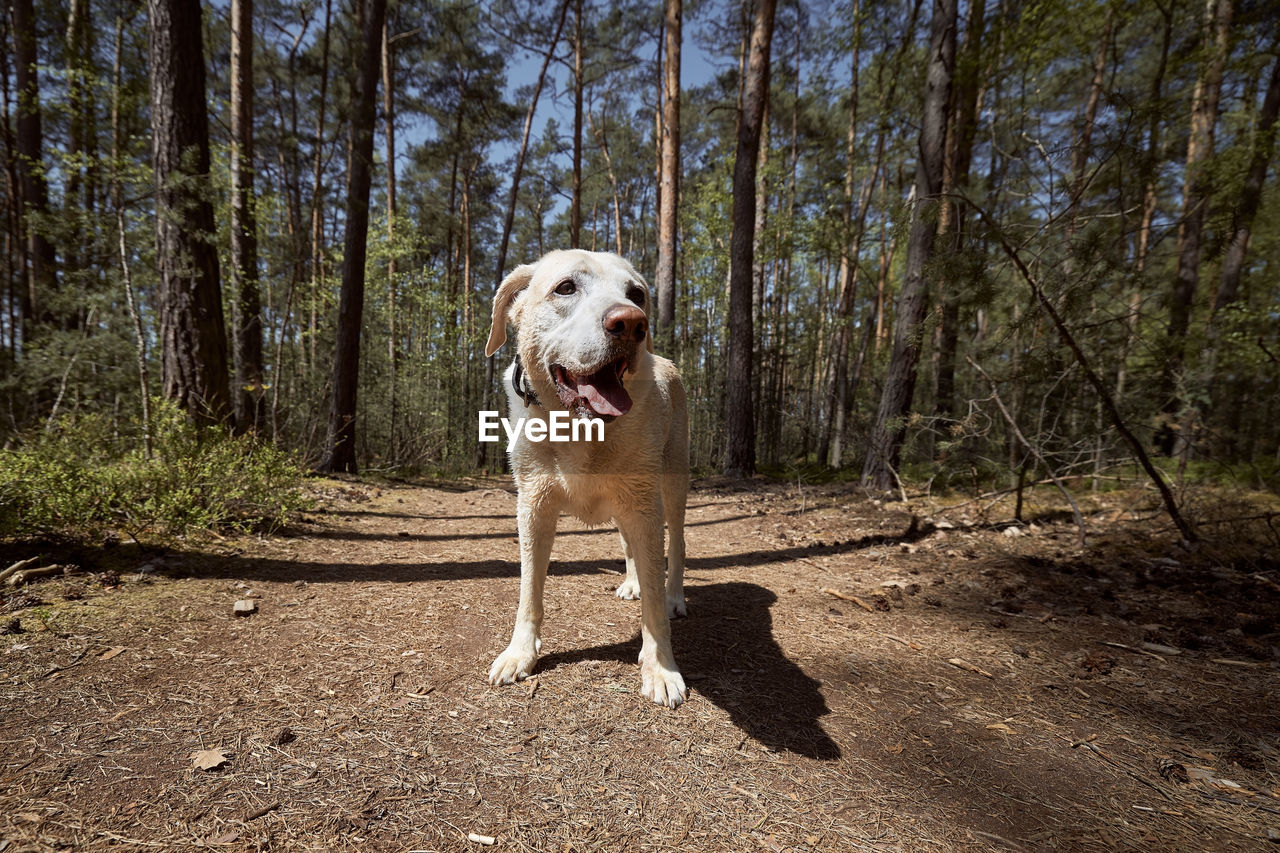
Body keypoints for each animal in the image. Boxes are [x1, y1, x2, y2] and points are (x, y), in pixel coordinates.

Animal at [483, 249, 691, 706]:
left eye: (637, 294)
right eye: (565, 287)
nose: (632, 323)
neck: (580, 427)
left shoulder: (645, 505)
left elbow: (653, 604)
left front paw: (661, 669)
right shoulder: (533, 506)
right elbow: (529, 590)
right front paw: (519, 654)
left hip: (672, 484)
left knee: (677, 547)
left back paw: (674, 596)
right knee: (630, 545)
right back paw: (631, 582)